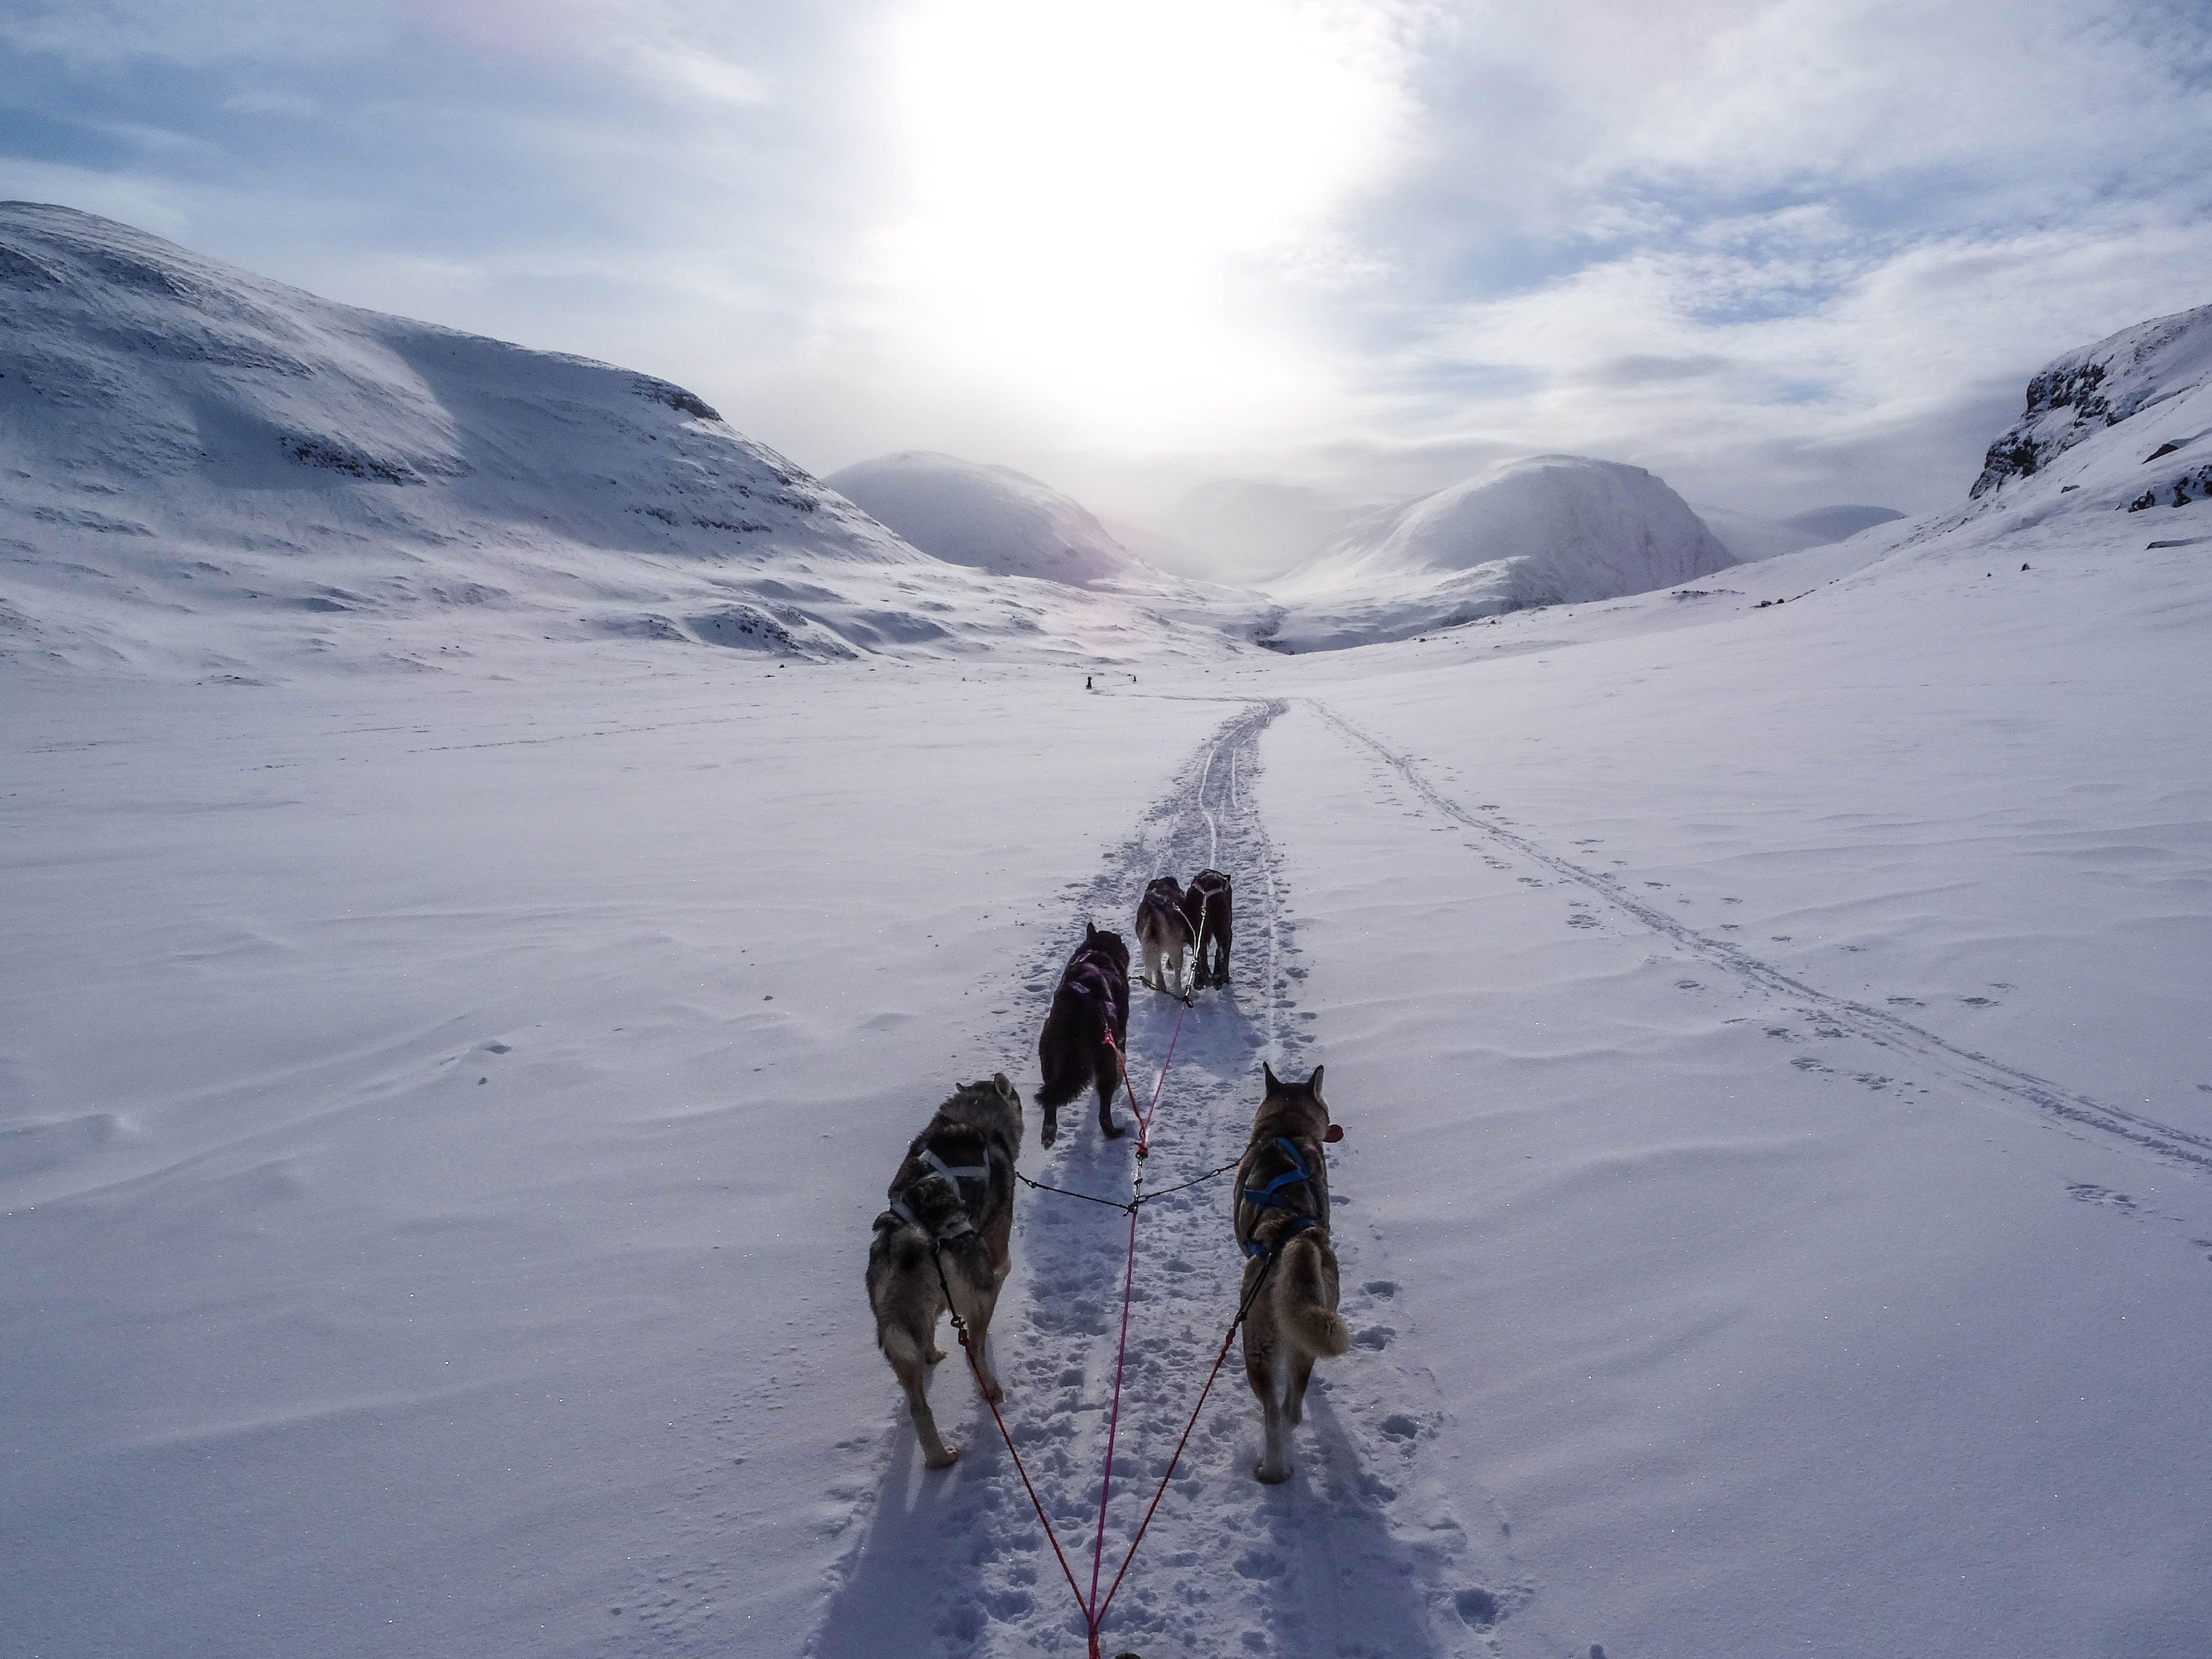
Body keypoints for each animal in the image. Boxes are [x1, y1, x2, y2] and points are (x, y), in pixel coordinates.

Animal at [871, 1084, 1026, 1477]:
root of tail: (910, 1236)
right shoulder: (997, 1251)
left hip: (898, 1332)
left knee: (919, 1406)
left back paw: (939, 1457)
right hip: (978, 1297)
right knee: (976, 1347)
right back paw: (991, 1389)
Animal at [1035, 929, 1132, 1150]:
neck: (1097, 952)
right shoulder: (1120, 1040)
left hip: (1048, 1062)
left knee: (1051, 1100)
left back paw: (1049, 1132)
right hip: (1106, 1061)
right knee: (1104, 1112)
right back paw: (1114, 1133)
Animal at [1185, 871, 1239, 986]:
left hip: (1196, 932)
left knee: (1200, 955)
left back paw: (1200, 981)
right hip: (1224, 930)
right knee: (1222, 954)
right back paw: (1221, 978)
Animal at [1230, 1070, 1345, 1486]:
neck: (1287, 1129)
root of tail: (1297, 1239)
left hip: (1256, 1346)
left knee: (1274, 1414)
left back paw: (1272, 1470)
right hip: (1313, 1329)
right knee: (1292, 1404)